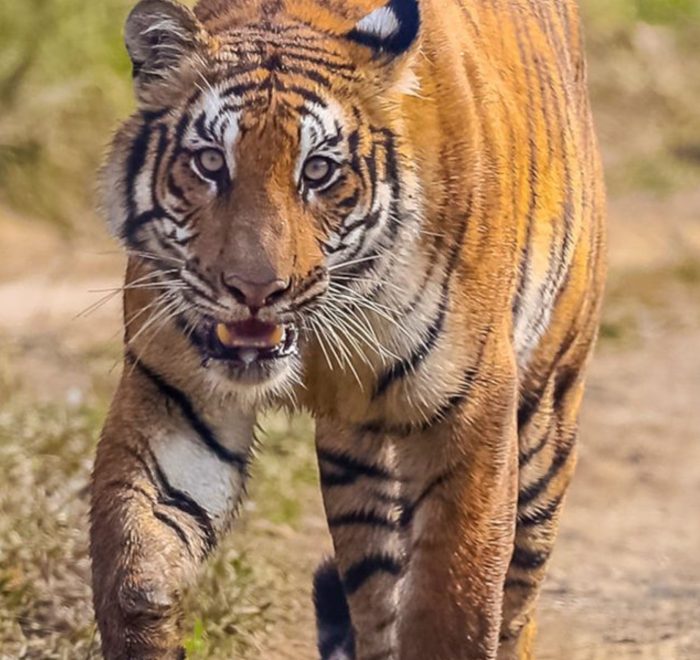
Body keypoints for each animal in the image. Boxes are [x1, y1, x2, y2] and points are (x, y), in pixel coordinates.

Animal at [90, 0, 606, 658]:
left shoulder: (473, 411)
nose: (256, 290)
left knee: (519, 596)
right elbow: (135, 566)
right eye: (210, 163)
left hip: (546, 415)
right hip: (357, 462)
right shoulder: (174, 393)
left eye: (318, 171)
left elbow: (456, 604)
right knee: (378, 592)